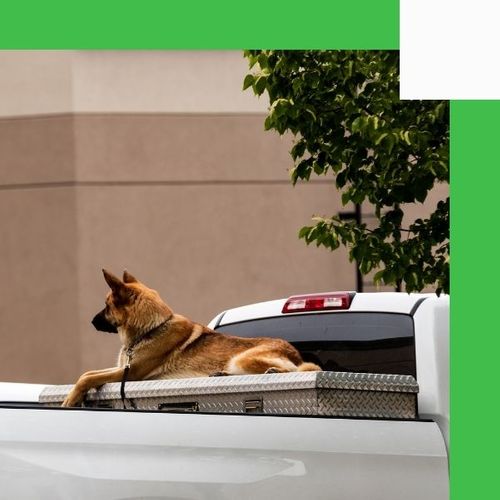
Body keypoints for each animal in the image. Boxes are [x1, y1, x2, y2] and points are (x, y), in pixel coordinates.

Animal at [61, 270, 320, 406]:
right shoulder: (123, 369)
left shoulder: (132, 374)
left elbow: (86, 377)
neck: (151, 328)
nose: (91, 321)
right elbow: (88, 373)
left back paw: (274, 371)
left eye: (106, 306)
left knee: (299, 370)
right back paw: (222, 374)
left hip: (244, 358)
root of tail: (294, 352)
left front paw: (69, 401)